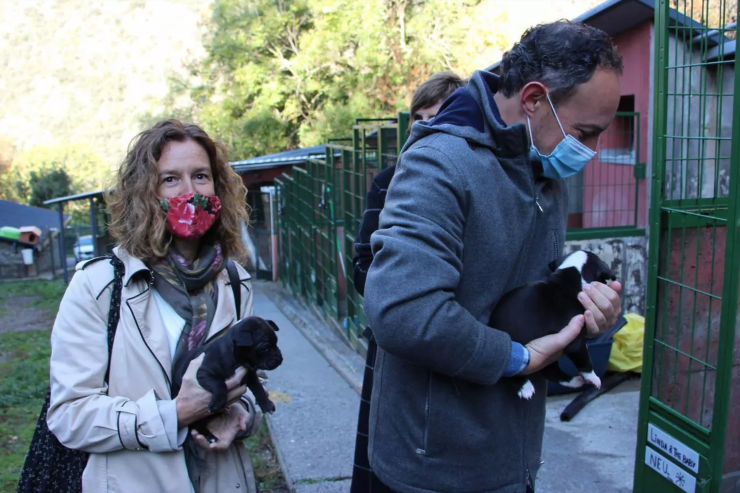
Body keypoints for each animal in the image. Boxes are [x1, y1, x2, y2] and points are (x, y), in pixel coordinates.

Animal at [488, 250, 616, 400]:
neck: (571, 275)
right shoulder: (575, 343)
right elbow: (585, 361)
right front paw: (593, 378)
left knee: (550, 371)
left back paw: (573, 381)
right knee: (511, 369)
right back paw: (524, 387)